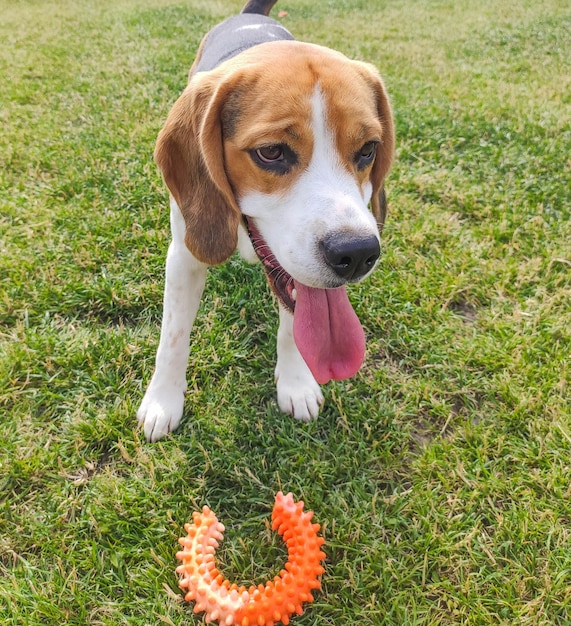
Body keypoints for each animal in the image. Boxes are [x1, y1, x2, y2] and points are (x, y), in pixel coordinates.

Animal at [137, 0, 396, 442]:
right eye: (271, 152)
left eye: (368, 149)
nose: (357, 254)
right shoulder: (184, 255)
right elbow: (173, 335)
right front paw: (162, 401)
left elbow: (294, 325)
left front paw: (296, 382)